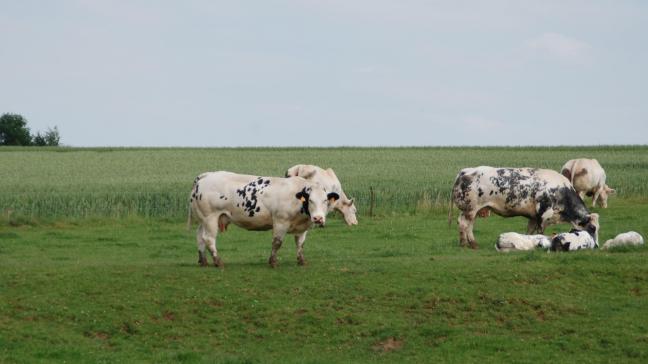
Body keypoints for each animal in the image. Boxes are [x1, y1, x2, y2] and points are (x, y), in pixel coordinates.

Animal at [186, 171, 340, 268]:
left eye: (326, 200)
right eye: (311, 200)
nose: (318, 218)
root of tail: (206, 175)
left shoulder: (302, 227)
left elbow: (300, 244)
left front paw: (301, 261)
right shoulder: (280, 221)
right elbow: (277, 243)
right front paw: (273, 262)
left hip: (203, 219)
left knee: (199, 236)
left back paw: (203, 261)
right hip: (210, 217)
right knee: (209, 239)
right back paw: (218, 261)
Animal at [450, 166, 596, 249]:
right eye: (593, 228)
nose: (596, 245)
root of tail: (465, 171)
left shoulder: (533, 216)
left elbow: (530, 231)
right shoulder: (543, 215)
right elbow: (540, 231)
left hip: (473, 210)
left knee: (467, 225)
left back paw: (472, 244)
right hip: (471, 209)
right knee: (464, 224)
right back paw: (465, 244)